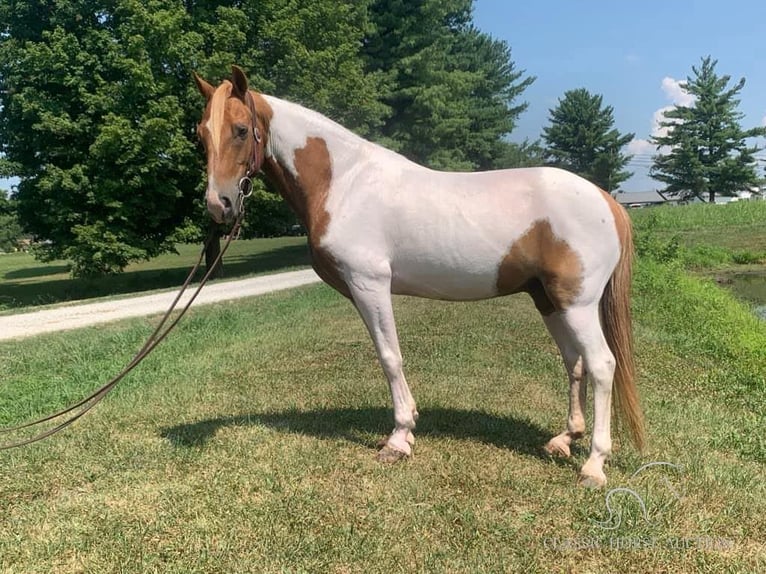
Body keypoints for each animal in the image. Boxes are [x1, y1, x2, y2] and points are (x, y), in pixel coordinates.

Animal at [195, 68, 644, 490]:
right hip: (549, 300)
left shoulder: (370, 284)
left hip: (577, 304)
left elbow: (389, 357)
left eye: (240, 129)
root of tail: (606, 200)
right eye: (201, 134)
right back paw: (564, 440)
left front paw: (399, 438)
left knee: (602, 364)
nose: (219, 205)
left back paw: (594, 465)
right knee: (575, 362)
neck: (345, 182)